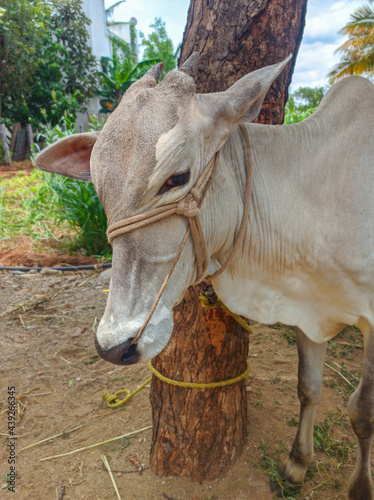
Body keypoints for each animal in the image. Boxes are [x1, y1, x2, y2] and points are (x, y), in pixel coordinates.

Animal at [36, 52, 374, 498]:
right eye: (99, 187)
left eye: (177, 177)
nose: (114, 344)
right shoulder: (308, 308)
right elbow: (308, 387)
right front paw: (297, 464)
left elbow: (363, 412)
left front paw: (360, 487)